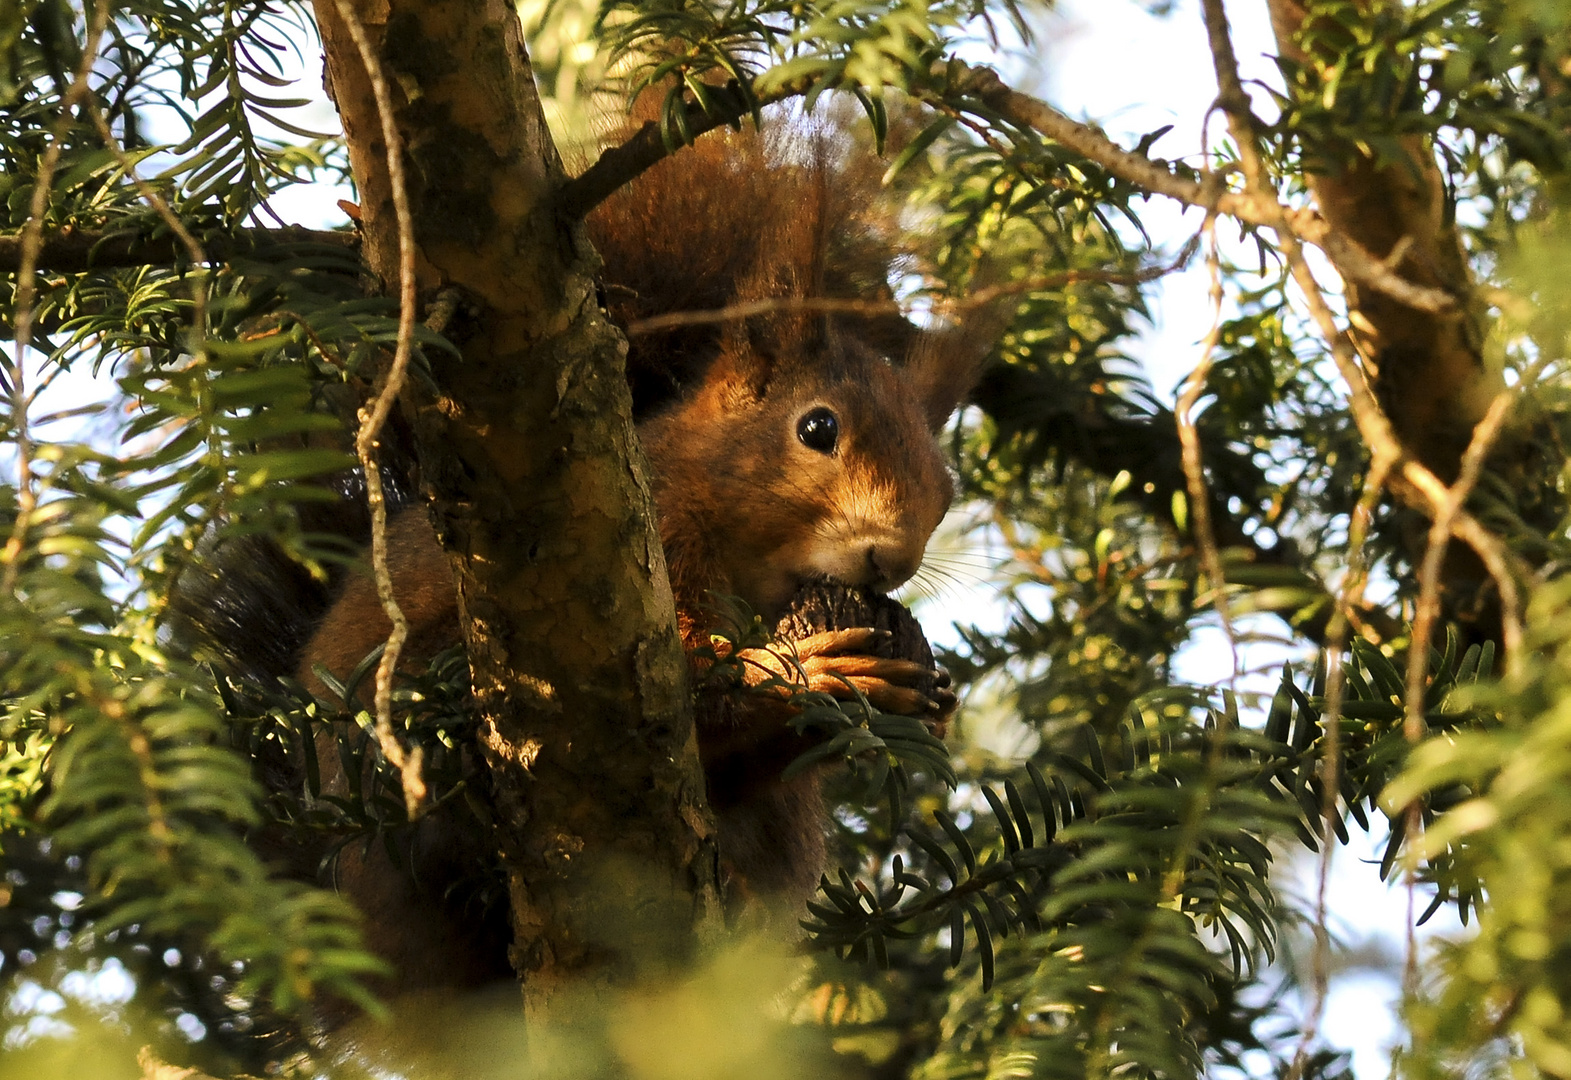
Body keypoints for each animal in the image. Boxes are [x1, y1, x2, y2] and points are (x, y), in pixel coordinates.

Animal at [193, 120, 992, 999]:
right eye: (817, 429)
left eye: (947, 487)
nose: (893, 558)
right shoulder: (659, 544)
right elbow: (686, 687)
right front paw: (797, 670)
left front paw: (922, 682)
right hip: (418, 706)